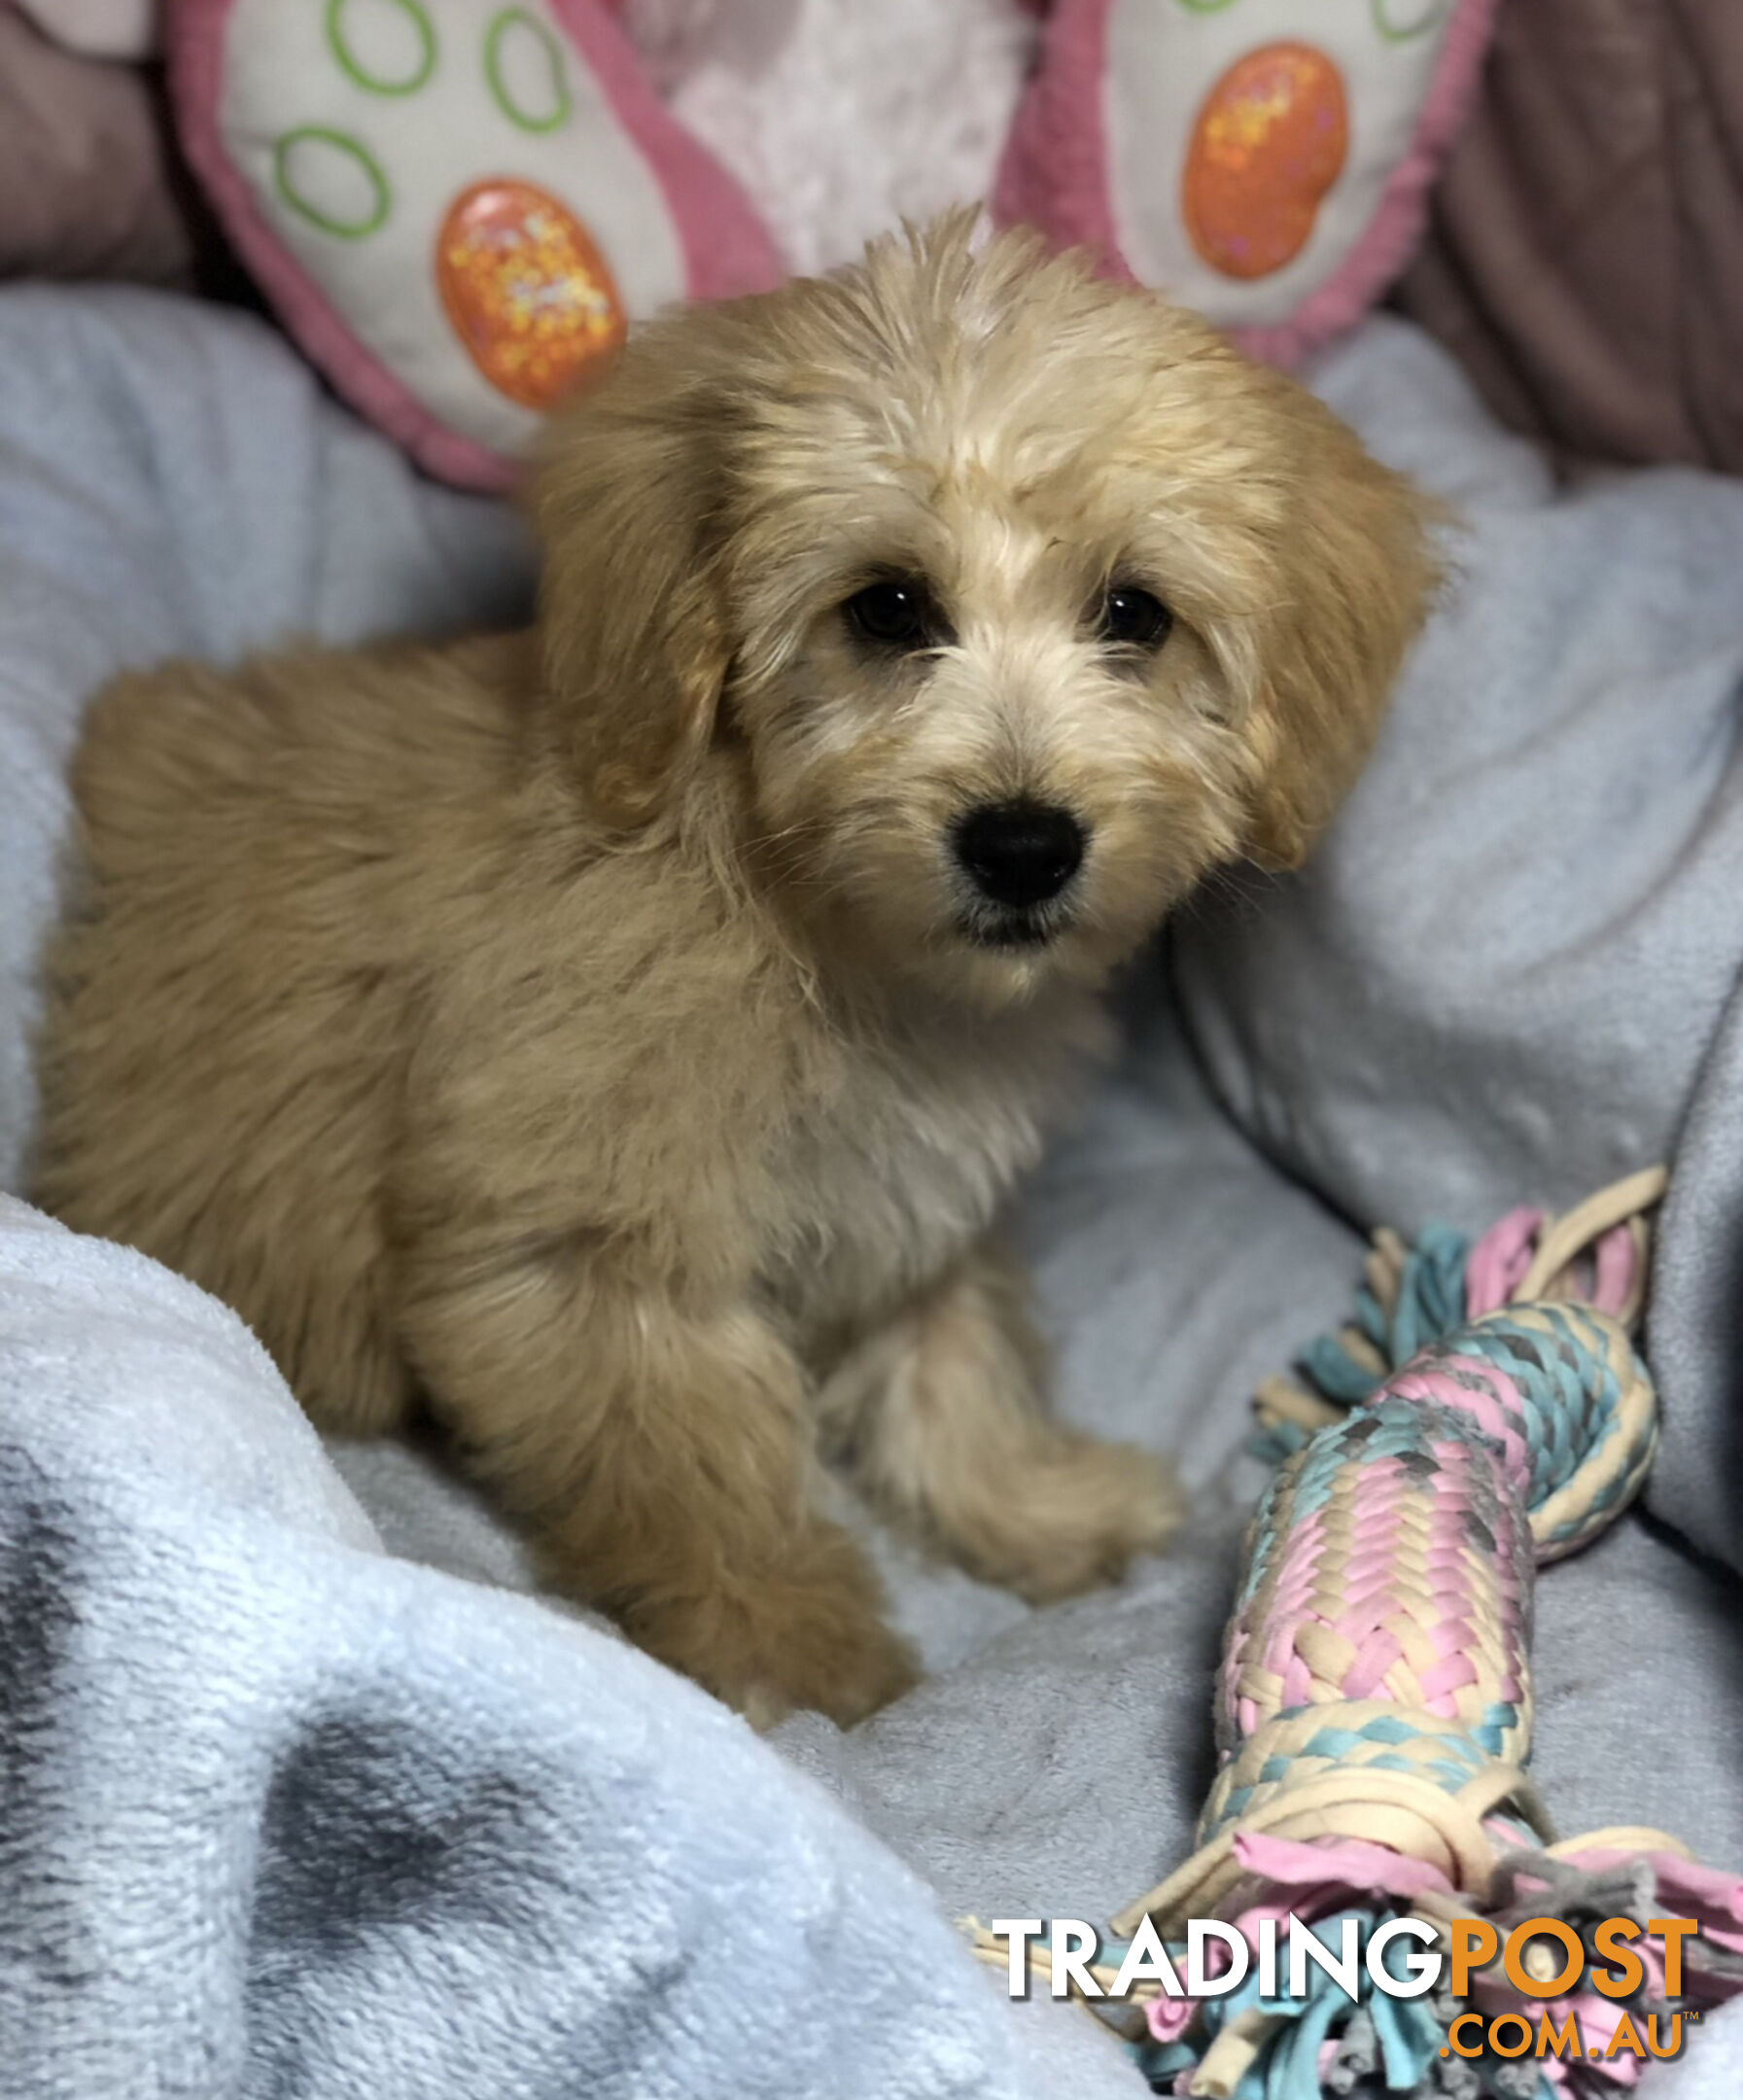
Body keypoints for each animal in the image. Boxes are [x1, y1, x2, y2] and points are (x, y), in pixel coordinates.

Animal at [34, 221, 1436, 1722]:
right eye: (885, 608)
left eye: (1134, 613)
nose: (1021, 844)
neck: (801, 917)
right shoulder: (586, 1255)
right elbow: (690, 1469)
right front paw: (794, 1655)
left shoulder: (905, 1201)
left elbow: (950, 1357)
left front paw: (1034, 1505)